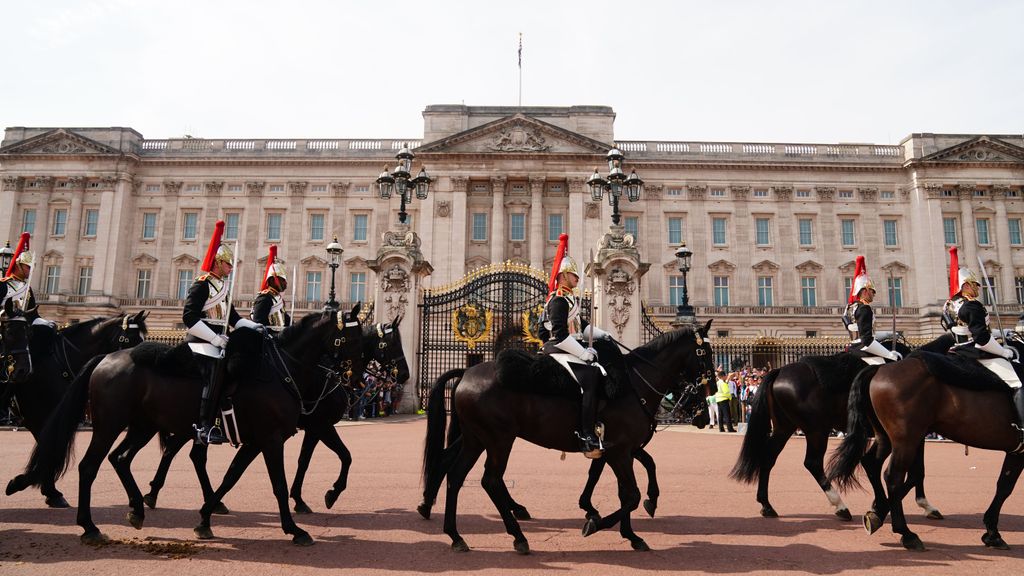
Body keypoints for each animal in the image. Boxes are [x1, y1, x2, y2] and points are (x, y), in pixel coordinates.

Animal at [4, 311, 147, 504]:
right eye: (131, 339)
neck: (59, 363)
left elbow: (51, 449)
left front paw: (46, 489)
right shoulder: (39, 417)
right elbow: (51, 449)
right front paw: (33, 486)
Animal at [419, 319, 716, 549]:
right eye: (704, 353)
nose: (704, 409)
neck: (633, 386)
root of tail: (468, 372)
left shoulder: (616, 448)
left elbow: (630, 479)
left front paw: (630, 528)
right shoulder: (620, 451)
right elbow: (630, 493)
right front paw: (597, 523)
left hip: (476, 439)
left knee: (455, 473)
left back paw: (454, 533)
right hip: (499, 439)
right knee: (489, 479)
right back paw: (517, 535)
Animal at [729, 334, 950, 518]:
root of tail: (780, 370)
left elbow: (911, 468)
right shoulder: (913, 433)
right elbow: (917, 469)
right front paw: (922, 504)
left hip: (785, 427)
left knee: (768, 457)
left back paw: (767, 505)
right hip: (816, 429)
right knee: (812, 463)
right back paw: (840, 505)